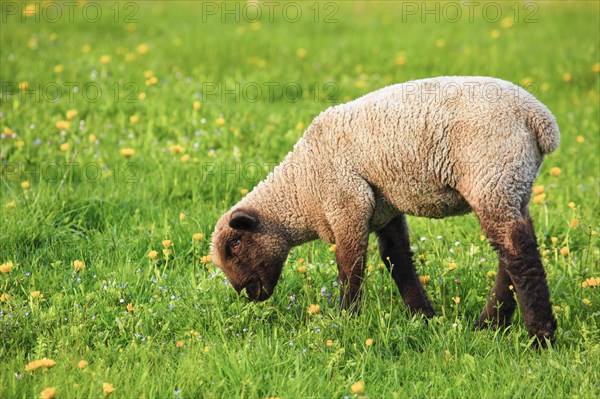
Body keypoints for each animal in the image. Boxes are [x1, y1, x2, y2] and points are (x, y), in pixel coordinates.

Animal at [210, 76, 556, 346]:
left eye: (234, 244)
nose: (246, 293)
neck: (301, 189)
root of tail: (539, 119)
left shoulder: (347, 202)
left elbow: (350, 267)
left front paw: (346, 320)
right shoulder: (384, 209)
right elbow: (397, 258)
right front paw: (423, 317)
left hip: (491, 176)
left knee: (519, 254)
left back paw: (540, 337)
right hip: (513, 185)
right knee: (509, 254)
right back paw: (490, 325)